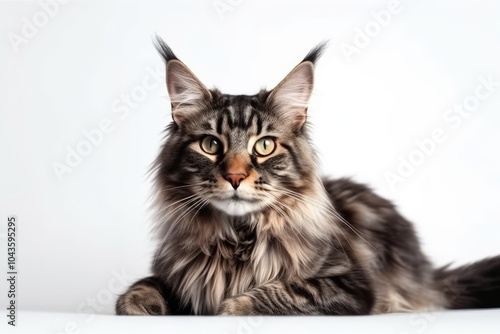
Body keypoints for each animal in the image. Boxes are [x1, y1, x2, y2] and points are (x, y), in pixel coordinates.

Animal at [115, 37, 500, 316]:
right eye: (211, 145)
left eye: (265, 145)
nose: (236, 177)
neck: (238, 240)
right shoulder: (175, 273)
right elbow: (141, 287)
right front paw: (141, 305)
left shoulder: (349, 284)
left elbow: (281, 291)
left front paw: (231, 306)